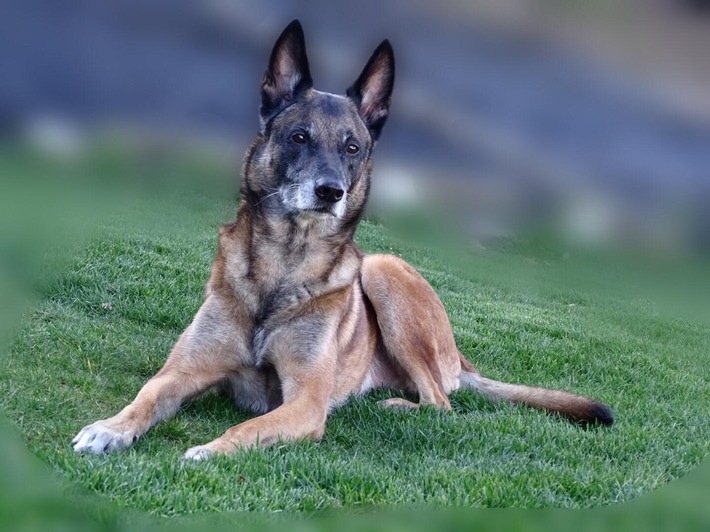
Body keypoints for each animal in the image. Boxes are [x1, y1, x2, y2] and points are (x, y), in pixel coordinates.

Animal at [75, 20, 616, 460]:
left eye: (352, 148)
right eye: (299, 136)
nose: (330, 191)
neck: (283, 266)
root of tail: (460, 357)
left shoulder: (306, 403)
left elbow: (249, 429)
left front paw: (210, 450)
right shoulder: (182, 373)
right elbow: (145, 397)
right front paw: (108, 428)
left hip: (381, 270)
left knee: (441, 402)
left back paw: (397, 405)